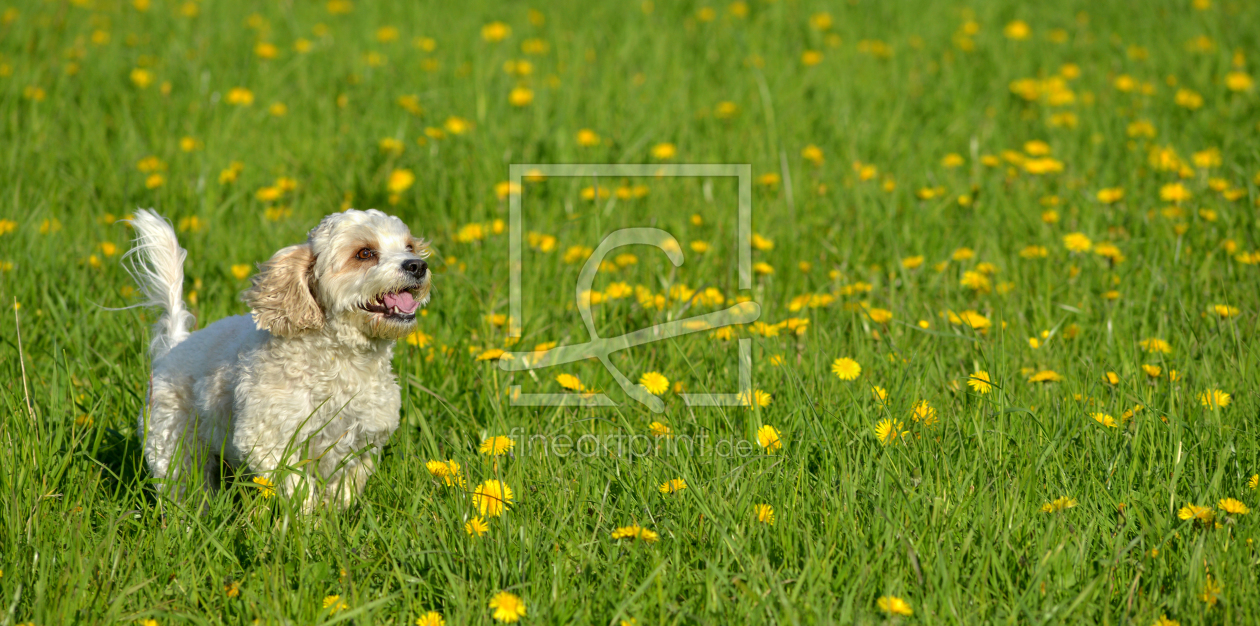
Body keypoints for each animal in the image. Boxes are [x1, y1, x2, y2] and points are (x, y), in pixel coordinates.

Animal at [126, 207, 433, 508]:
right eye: (365, 253)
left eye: (409, 246)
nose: (417, 265)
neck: (340, 364)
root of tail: (174, 345)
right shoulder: (268, 441)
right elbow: (299, 490)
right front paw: (308, 520)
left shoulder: (361, 445)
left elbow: (343, 493)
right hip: (172, 446)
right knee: (183, 489)